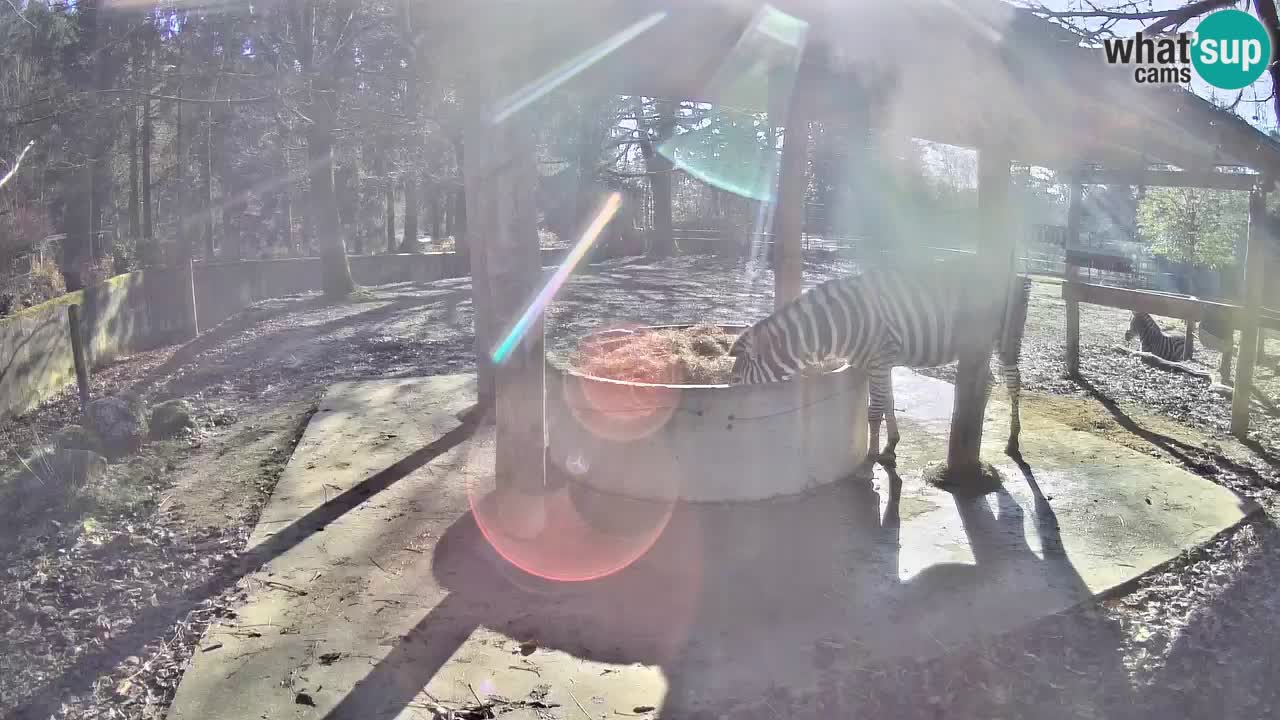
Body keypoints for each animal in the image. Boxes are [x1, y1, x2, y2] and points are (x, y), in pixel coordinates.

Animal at [727, 263, 1034, 471]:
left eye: (737, 377)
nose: (730, 407)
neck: (837, 325)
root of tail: (1017, 273)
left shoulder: (879, 358)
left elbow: (874, 411)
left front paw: (871, 456)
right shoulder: (877, 363)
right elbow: (888, 402)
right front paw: (890, 446)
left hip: (1007, 337)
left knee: (1013, 381)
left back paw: (1013, 441)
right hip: (979, 346)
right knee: (990, 379)